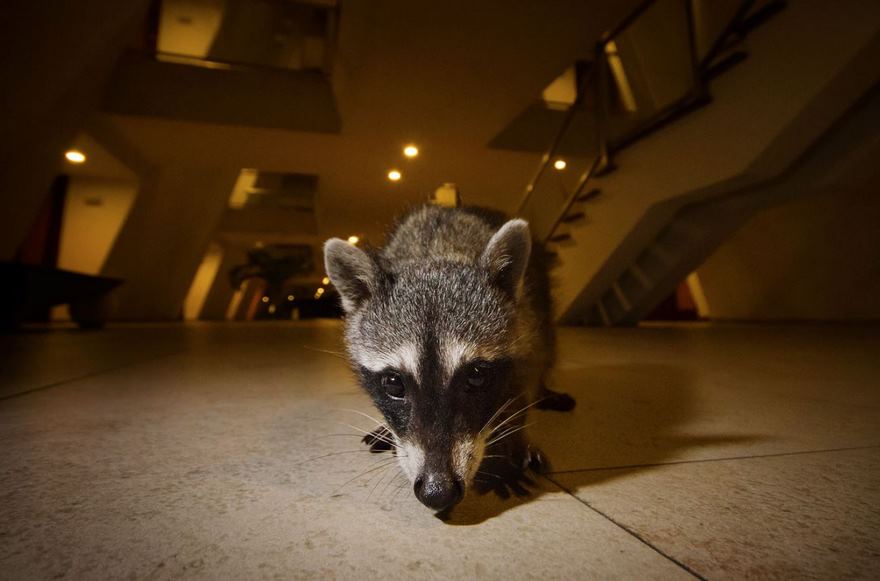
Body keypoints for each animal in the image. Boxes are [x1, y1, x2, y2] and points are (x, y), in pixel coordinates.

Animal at [323, 205, 574, 512]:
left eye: (476, 376)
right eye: (393, 384)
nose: (437, 491)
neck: (436, 252)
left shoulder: (526, 324)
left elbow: (522, 381)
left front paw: (510, 439)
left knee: (547, 351)